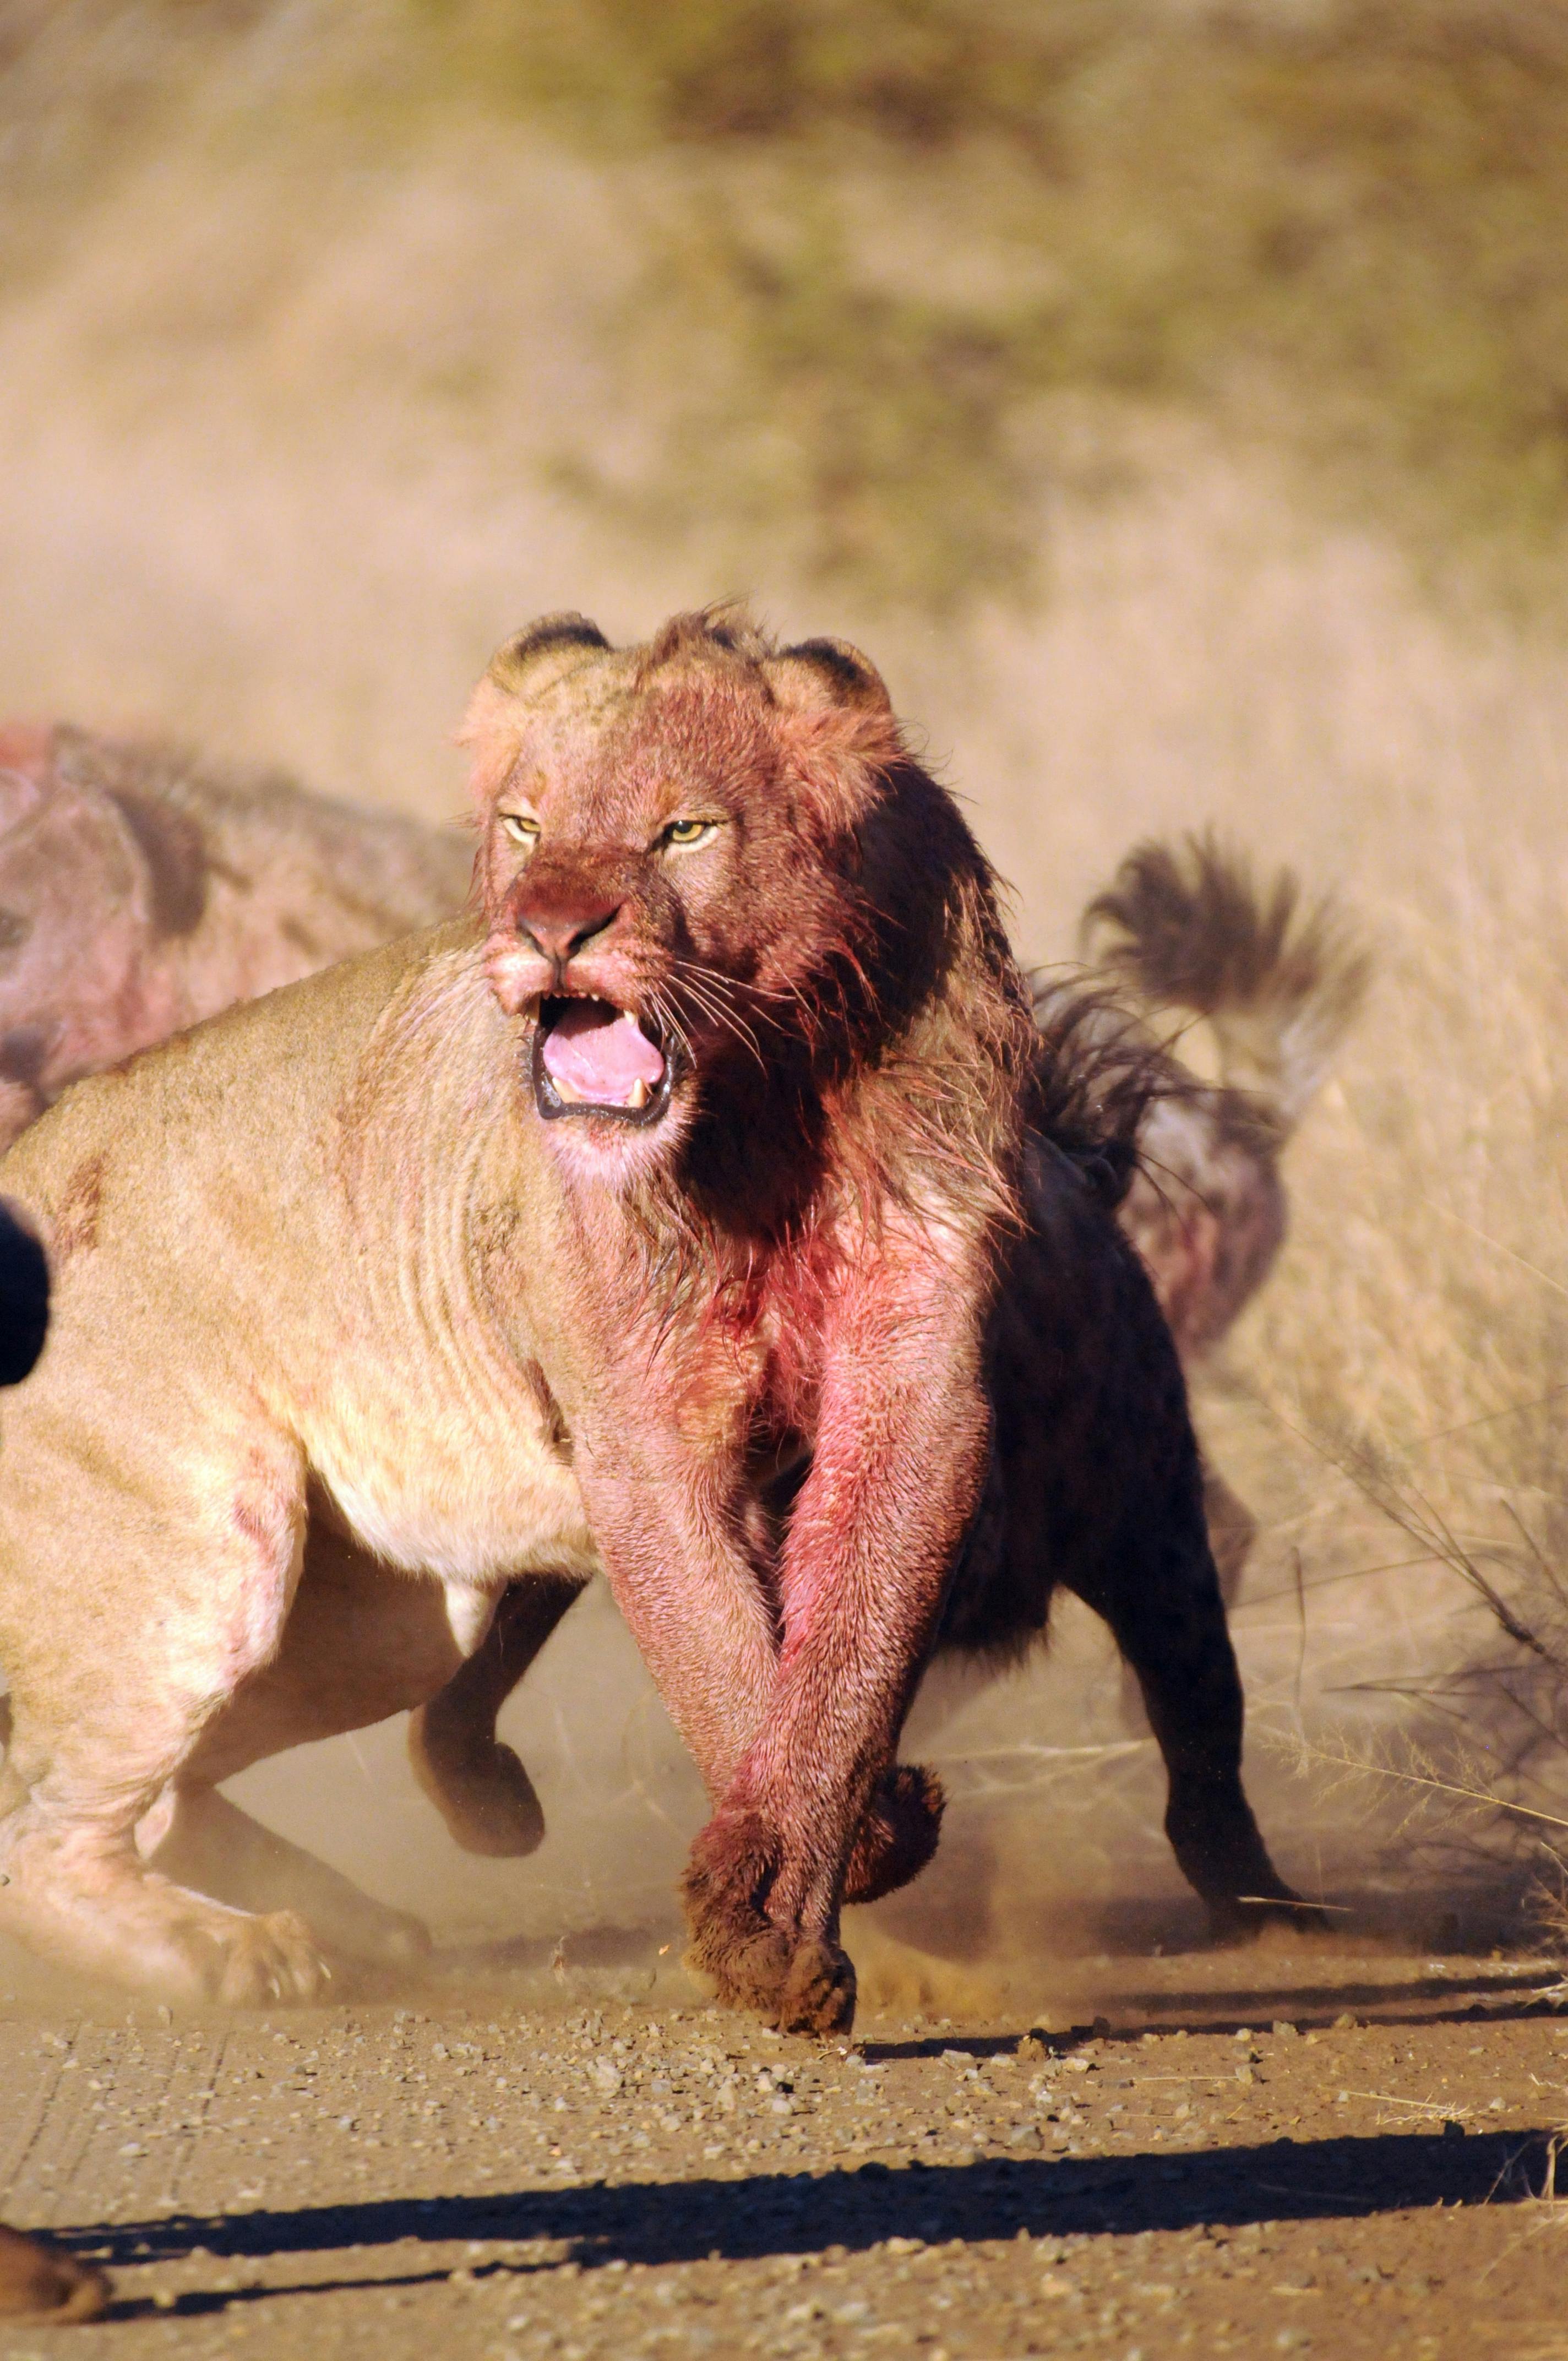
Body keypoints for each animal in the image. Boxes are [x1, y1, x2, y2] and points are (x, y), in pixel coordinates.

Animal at [0, 608, 1046, 2034]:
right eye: (523, 823)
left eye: (683, 830)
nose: (551, 927)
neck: (768, 1099)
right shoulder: (637, 1428)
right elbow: (727, 1659)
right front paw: (776, 1919)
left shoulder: (916, 1377)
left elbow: (847, 1648)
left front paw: (846, 1832)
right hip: (198, 1552)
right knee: (38, 1842)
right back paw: (244, 1953)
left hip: (377, 1623)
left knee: (161, 1797)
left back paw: (359, 1915)